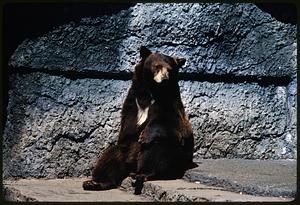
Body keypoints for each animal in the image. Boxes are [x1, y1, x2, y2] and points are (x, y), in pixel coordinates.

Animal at [82, 46, 196, 192]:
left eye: (170, 69)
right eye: (157, 66)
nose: (164, 79)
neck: (152, 92)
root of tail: (132, 165)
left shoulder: (170, 106)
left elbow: (173, 125)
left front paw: (145, 136)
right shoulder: (132, 102)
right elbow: (128, 127)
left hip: (173, 157)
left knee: (157, 149)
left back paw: (143, 173)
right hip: (125, 151)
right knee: (110, 155)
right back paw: (95, 182)